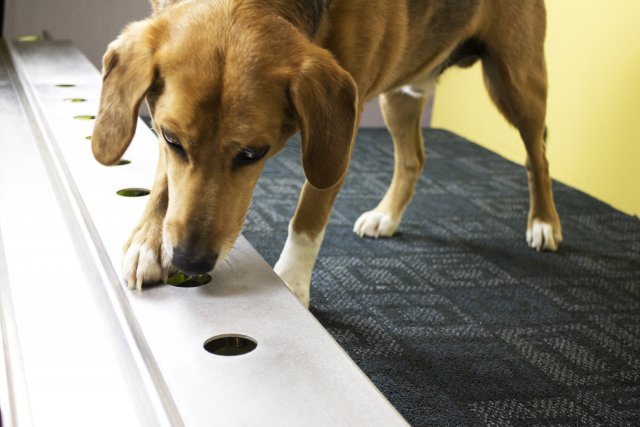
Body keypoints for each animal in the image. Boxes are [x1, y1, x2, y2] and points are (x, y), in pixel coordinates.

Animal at [92, 0, 564, 308]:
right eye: (171, 139)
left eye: (253, 152)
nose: (190, 260)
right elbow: (163, 184)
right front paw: (149, 240)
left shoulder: (339, 127)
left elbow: (308, 218)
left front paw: (291, 283)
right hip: (400, 95)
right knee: (412, 159)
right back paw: (387, 215)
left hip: (517, 81)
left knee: (538, 156)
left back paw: (543, 222)